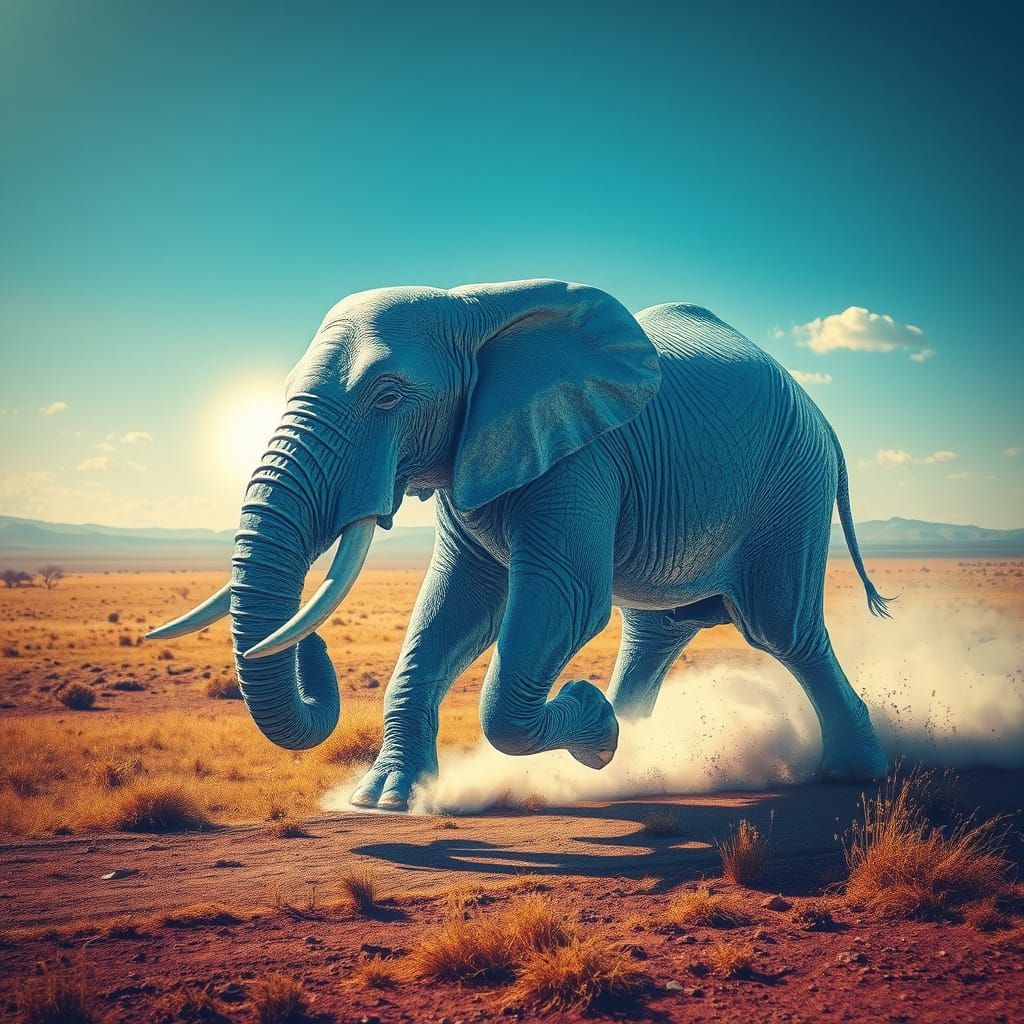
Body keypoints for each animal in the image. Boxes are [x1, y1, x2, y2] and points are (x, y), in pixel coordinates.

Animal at [149, 278, 891, 811]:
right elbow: (453, 609)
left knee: (782, 628)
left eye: (388, 395)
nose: (314, 647)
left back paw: (850, 772)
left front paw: (594, 726)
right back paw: (630, 762)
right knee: (657, 631)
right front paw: (384, 801)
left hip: (791, 487)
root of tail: (823, 416)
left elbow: (568, 600)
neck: (471, 308)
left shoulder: (582, 456)